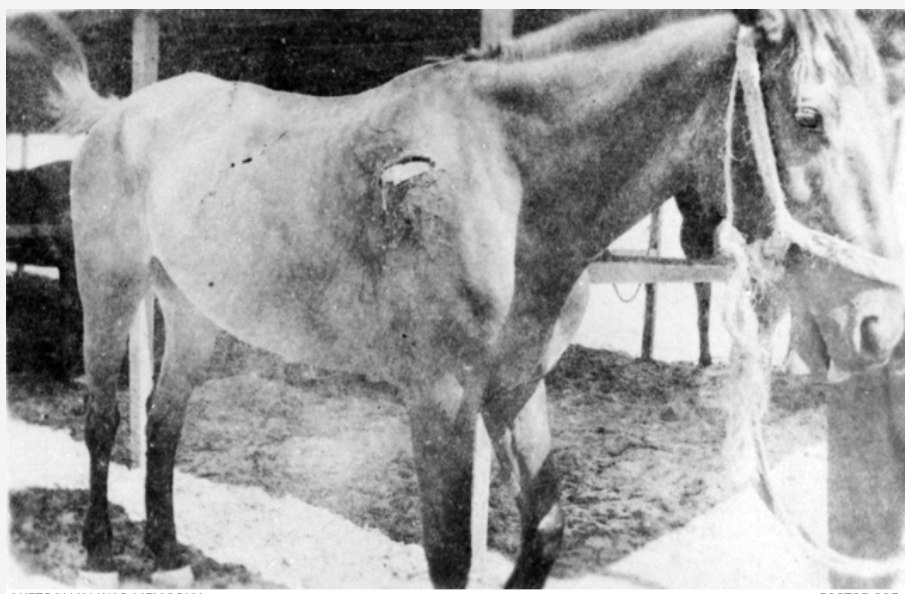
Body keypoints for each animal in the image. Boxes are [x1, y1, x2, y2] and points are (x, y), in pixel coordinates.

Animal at [15, 9, 905, 588]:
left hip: (195, 313)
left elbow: (543, 532)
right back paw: (100, 547)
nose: (876, 328)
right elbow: (449, 553)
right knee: (104, 418)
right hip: (111, 287)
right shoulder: (439, 396)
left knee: (162, 423)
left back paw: (167, 551)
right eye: (809, 115)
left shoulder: (515, 384)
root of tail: (121, 111)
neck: (507, 176)